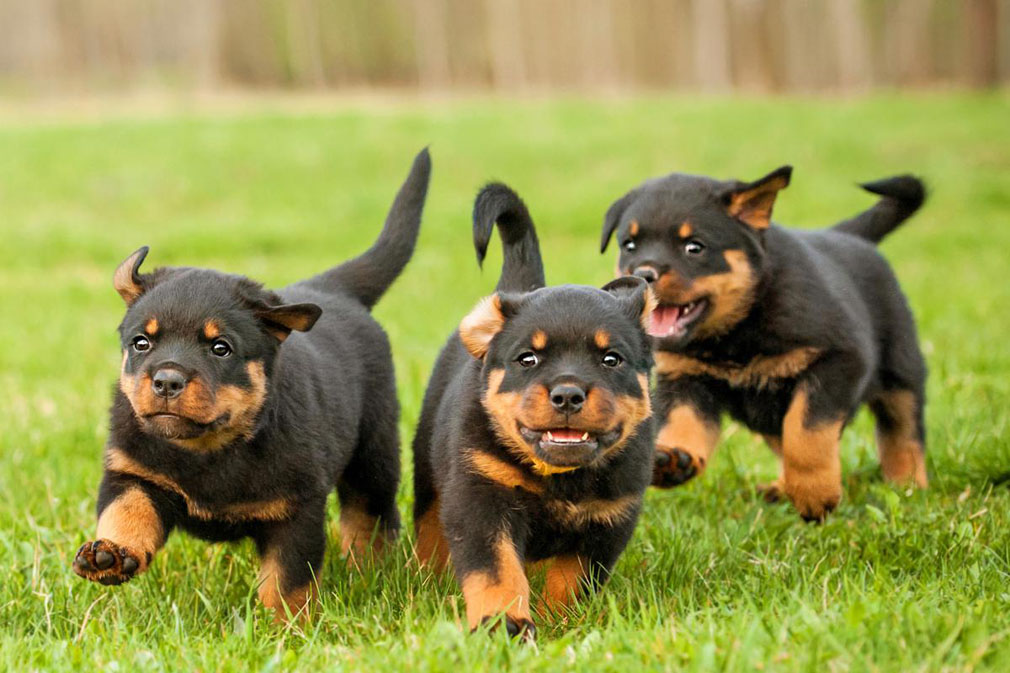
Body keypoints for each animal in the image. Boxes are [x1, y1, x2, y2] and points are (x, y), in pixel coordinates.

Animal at [72, 148, 430, 618]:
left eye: (220, 348)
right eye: (141, 343)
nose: (166, 381)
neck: (208, 449)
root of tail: (334, 290)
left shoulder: (296, 510)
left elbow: (287, 580)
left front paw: (287, 626)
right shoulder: (132, 471)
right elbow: (126, 510)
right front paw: (109, 553)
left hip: (375, 451)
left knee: (369, 513)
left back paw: (368, 570)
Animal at [410, 180, 654, 638]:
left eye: (611, 359)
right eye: (528, 358)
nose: (568, 394)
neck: (561, 480)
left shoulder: (609, 519)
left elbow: (573, 577)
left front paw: (562, 621)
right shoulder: (481, 498)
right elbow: (497, 570)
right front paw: (503, 623)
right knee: (430, 522)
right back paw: (427, 575)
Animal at [601, 166, 925, 517]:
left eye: (694, 247)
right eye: (629, 245)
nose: (643, 274)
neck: (735, 330)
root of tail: (851, 237)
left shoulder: (839, 359)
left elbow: (806, 432)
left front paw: (815, 494)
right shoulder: (684, 377)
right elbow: (684, 421)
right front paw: (674, 458)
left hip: (900, 374)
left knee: (903, 432)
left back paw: (908, 487)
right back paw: (780, 489)